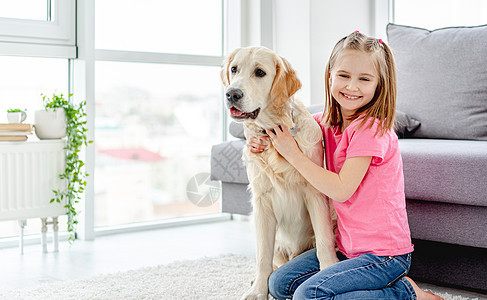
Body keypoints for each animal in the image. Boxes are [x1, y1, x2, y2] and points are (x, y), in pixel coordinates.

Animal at [222, 45, 340, 298]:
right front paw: (258, 290)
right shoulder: (262, 202)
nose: (232, 94)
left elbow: (324, 242)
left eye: (260, 72)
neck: (273, 132)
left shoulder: (315, 193)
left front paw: (328, 270)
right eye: (234, 69)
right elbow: (262, 257)